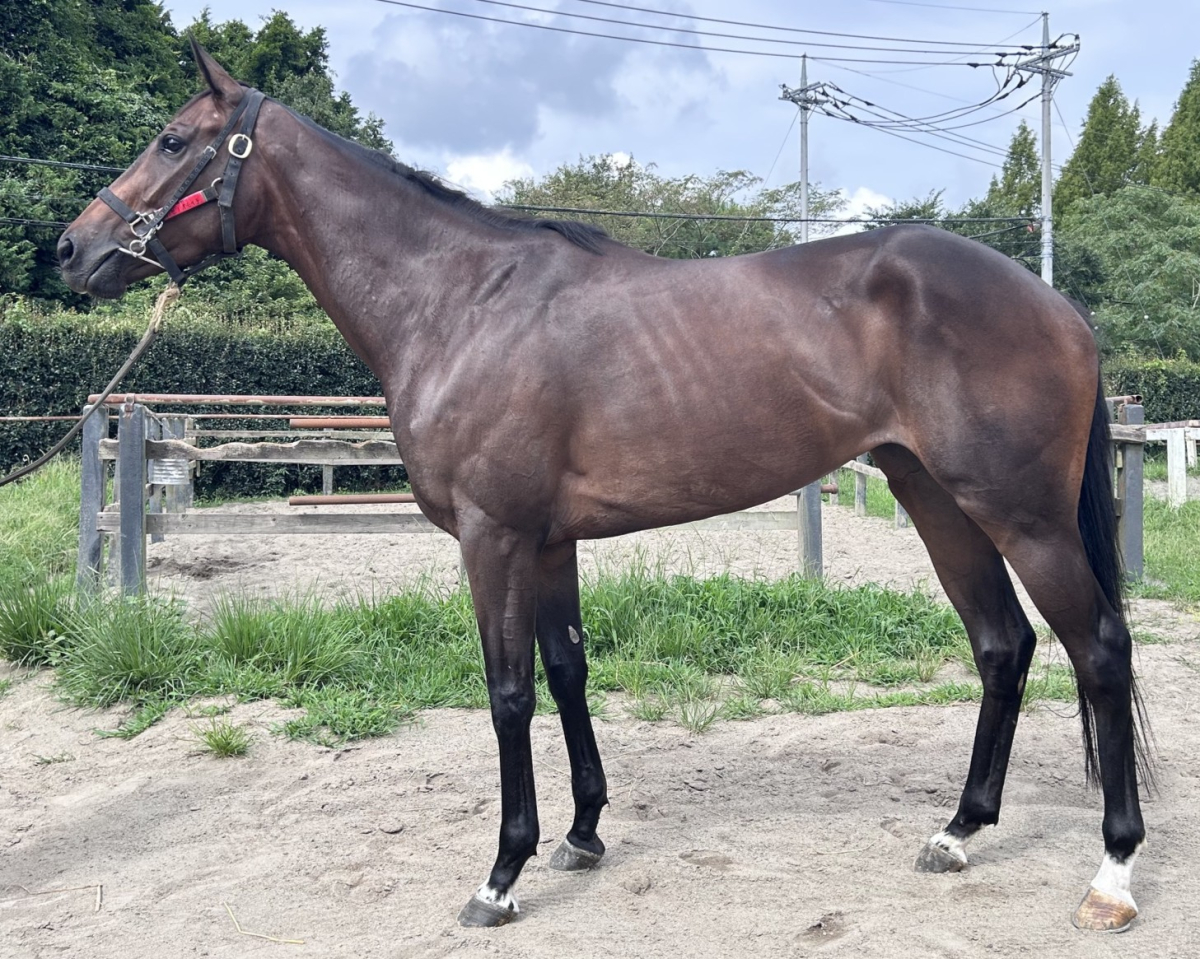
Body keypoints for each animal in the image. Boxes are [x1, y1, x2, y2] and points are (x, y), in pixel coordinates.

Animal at [58, 41, 1149, 933]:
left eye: (173, 139)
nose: (71, 248)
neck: (461, 302)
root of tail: (1058, 303)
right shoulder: (548, 540)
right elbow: (568, 668)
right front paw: (582, 832)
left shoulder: (494, 536)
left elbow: (506, 691)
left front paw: (502, 873)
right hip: (936, 499)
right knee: (1003, 646)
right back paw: (959, 829)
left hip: (1021, 514)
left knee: (1097, 648)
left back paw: (1113, 872)